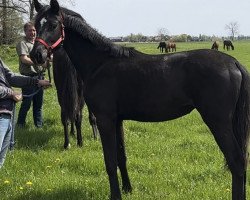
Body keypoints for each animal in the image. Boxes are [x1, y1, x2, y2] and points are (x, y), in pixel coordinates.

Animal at [31, 0, 250, 199]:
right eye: (35, 25)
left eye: (53, 25)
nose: (37, 55)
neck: (100, 64)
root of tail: (234, 63)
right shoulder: (117, 120)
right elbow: (121, 157)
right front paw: (128, 189)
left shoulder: (105, 119)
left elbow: (110, 162)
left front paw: (116, 196)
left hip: (218, 122)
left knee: (237, 162)